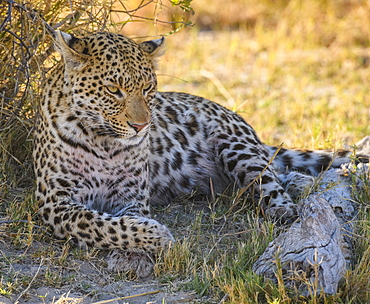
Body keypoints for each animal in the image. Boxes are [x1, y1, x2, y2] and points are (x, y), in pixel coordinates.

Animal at [33, 31, 356, 278]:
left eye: (147, 88)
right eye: (113, 90)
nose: (141, 126)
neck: (103, 142)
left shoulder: (131, 196)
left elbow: (124, 222)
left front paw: (136, 254)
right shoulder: (55, 202)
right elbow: (100, 223)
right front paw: (156, 237)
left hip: (237, 149)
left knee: (272, 185)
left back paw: (291, 206)